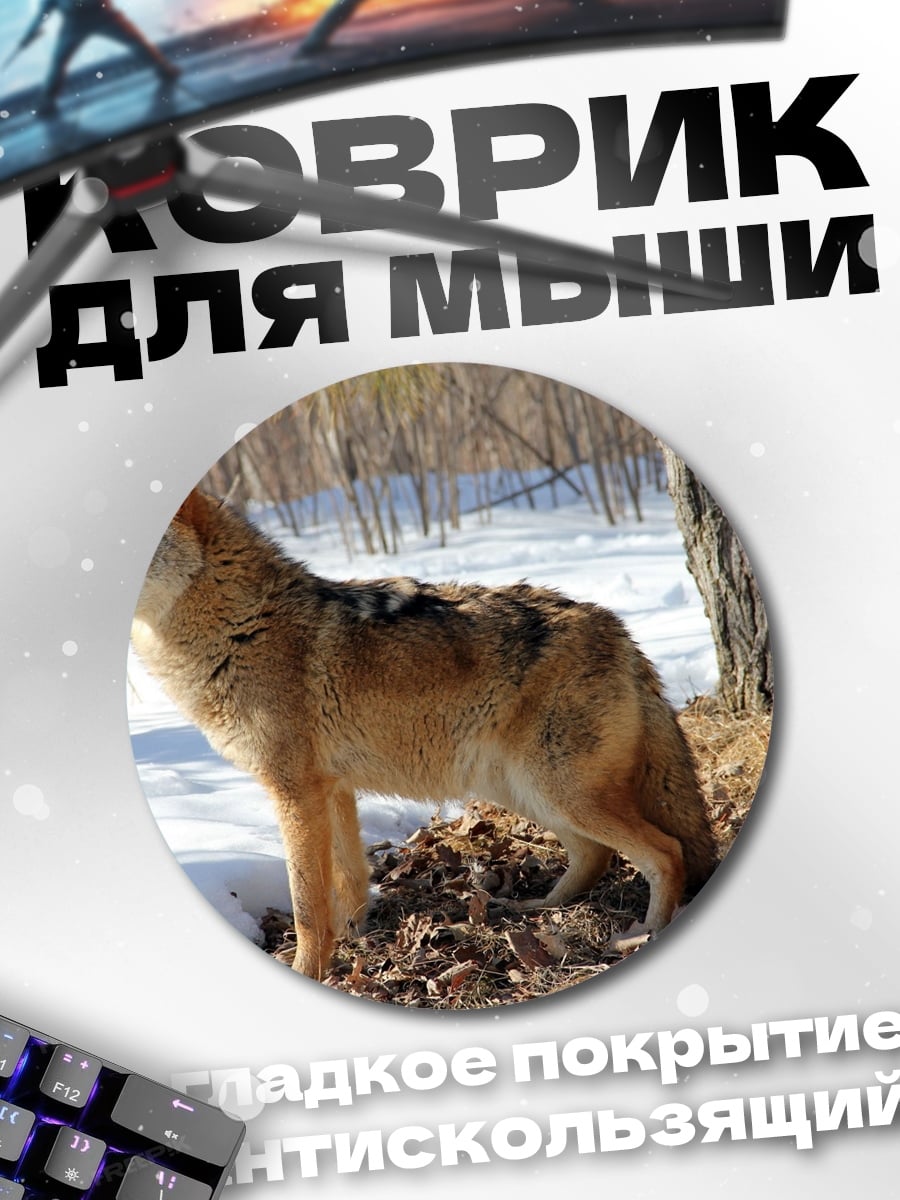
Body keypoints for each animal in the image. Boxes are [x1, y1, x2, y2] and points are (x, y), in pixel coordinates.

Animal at [131, 489, 719, 980]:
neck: (242, 626)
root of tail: (620, 633)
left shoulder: (295, 793)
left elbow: (306, 906)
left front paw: (307, 971)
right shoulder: (332, 789)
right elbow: (348, 881)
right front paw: (355, 943)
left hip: (556, 789)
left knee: (665, 852)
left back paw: (645, 935)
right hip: (523, 788)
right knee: (595, 855)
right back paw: (536, 909)